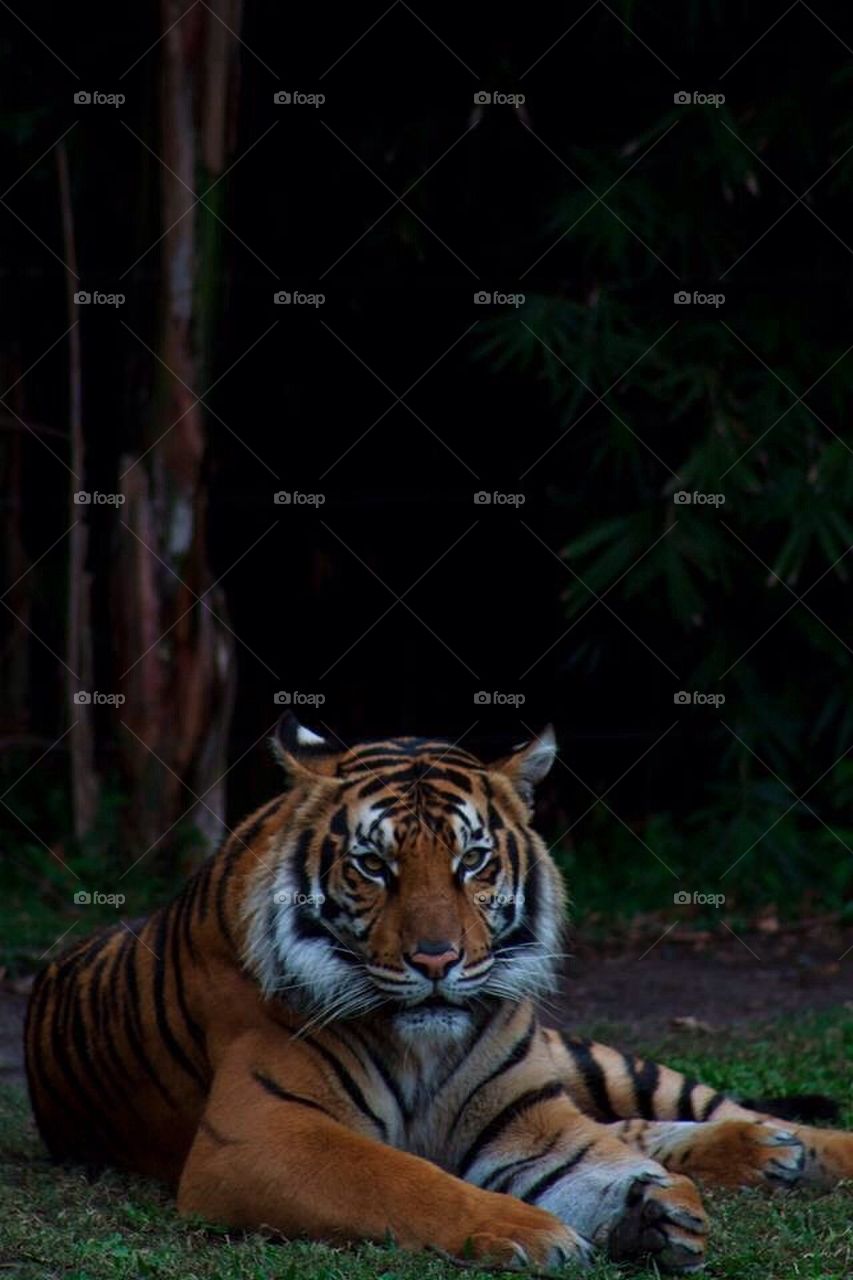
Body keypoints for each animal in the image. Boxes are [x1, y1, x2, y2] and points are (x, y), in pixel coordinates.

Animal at [25, 714, 853, 1272]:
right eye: (372, 865)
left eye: (472, 861)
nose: (435, 959)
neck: (424, 1041)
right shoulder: (258, 1135)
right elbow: (401, 1179)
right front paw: (534, 1231)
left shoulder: (527, 1117)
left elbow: (596, 1157)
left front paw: (654, 1209)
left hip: (588, 1058)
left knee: (700, 1111)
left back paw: (783, 1149)